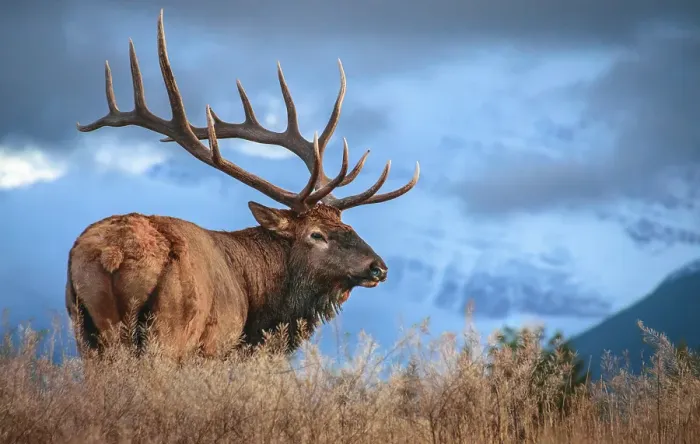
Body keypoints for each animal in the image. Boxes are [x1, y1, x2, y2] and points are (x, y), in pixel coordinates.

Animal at [66, 10, 419, 359]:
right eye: (316, 234)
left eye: (349, 227)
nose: (378, 267)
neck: (258, 307)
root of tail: (114, 254)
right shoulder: (216, 346)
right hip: (170, 330)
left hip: (85, 329)